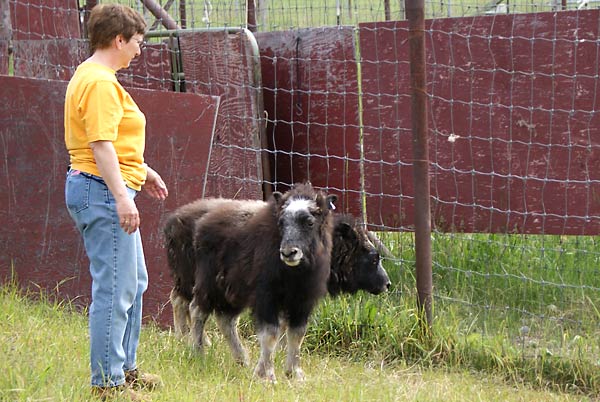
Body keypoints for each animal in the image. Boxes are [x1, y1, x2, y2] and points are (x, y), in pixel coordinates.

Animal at [166, 184, 338, 382]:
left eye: (310, 222)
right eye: (281, 222)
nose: (288, 252)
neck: (294, 273)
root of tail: (175, 218)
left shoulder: (302, 302)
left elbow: (297, 334)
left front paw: (295, 374)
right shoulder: (265, 298)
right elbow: (270, 334)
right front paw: (266, 376)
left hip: (228, 292)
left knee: (224, 319)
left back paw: (241, 359)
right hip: (205, 283)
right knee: (195, 309)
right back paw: (197, 352)